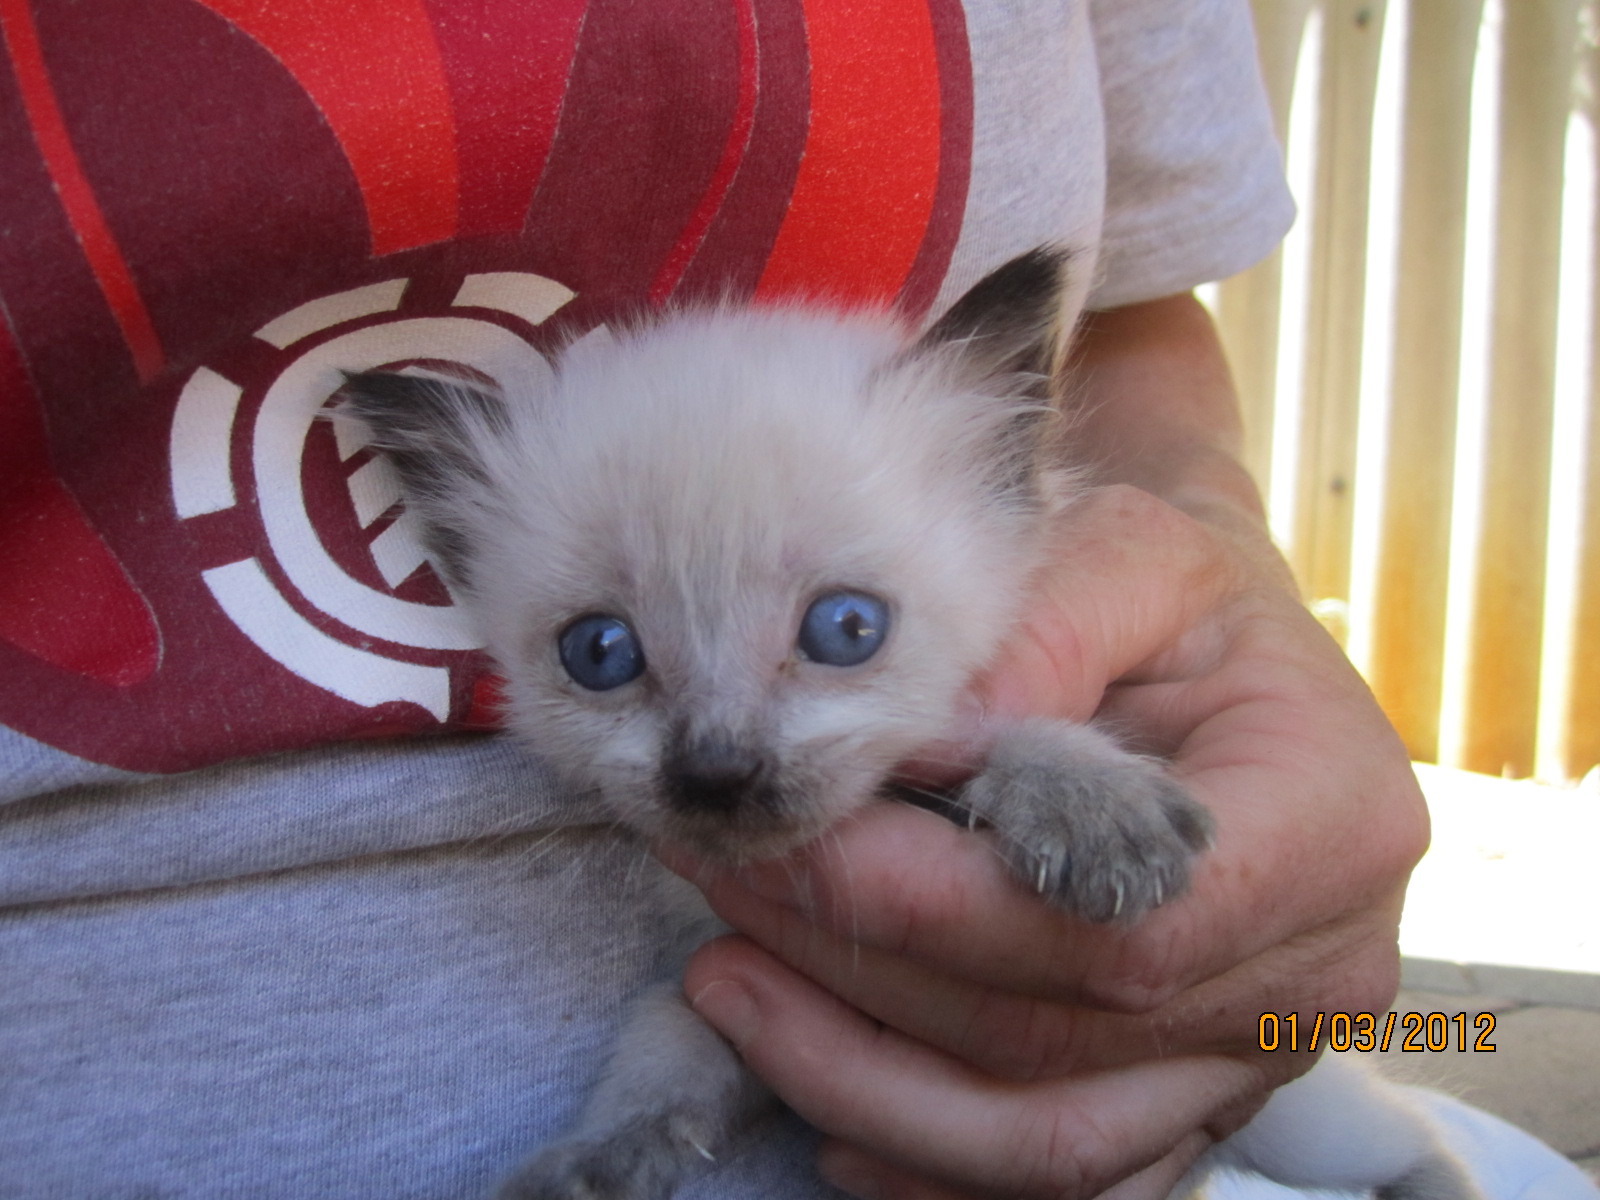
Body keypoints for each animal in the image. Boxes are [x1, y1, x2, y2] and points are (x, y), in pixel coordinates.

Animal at [338, 248, 1481, 1200]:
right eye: (601, 652)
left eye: (846, 629)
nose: (715, 774)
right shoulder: (720, 964)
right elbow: (666, 1047)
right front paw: (602, 1153)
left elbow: (1011, 736)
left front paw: (1087, 802)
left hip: (1301, 1122)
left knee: (1412, 1136)